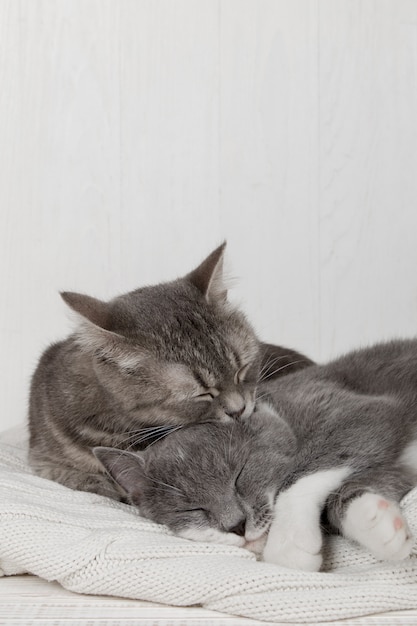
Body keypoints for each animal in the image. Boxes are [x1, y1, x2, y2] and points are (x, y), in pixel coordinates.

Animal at [93, 338, 416, 568]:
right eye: (190, 509)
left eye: (240, 475)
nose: (235, 526)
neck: (281, 414)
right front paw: (379, 522)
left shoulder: (355, 408)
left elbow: (306, 471)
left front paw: (290, 542)